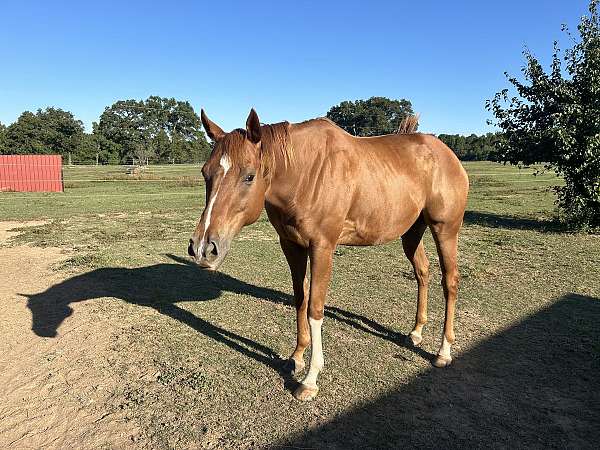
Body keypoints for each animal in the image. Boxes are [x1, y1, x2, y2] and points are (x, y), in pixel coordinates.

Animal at [190, 108, 472, 400]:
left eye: (249, 176)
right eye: (205, 173)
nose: (203, 248)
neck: (305, 174)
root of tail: (446, 154)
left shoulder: (322, 248)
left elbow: (315, 308)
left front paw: (310, 379)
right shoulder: (291, 246)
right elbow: (300, 300)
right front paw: (297, 357)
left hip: (445, 230)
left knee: (450, 281)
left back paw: (443, 351)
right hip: (412, 232)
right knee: (422, 272)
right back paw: (416, 332)